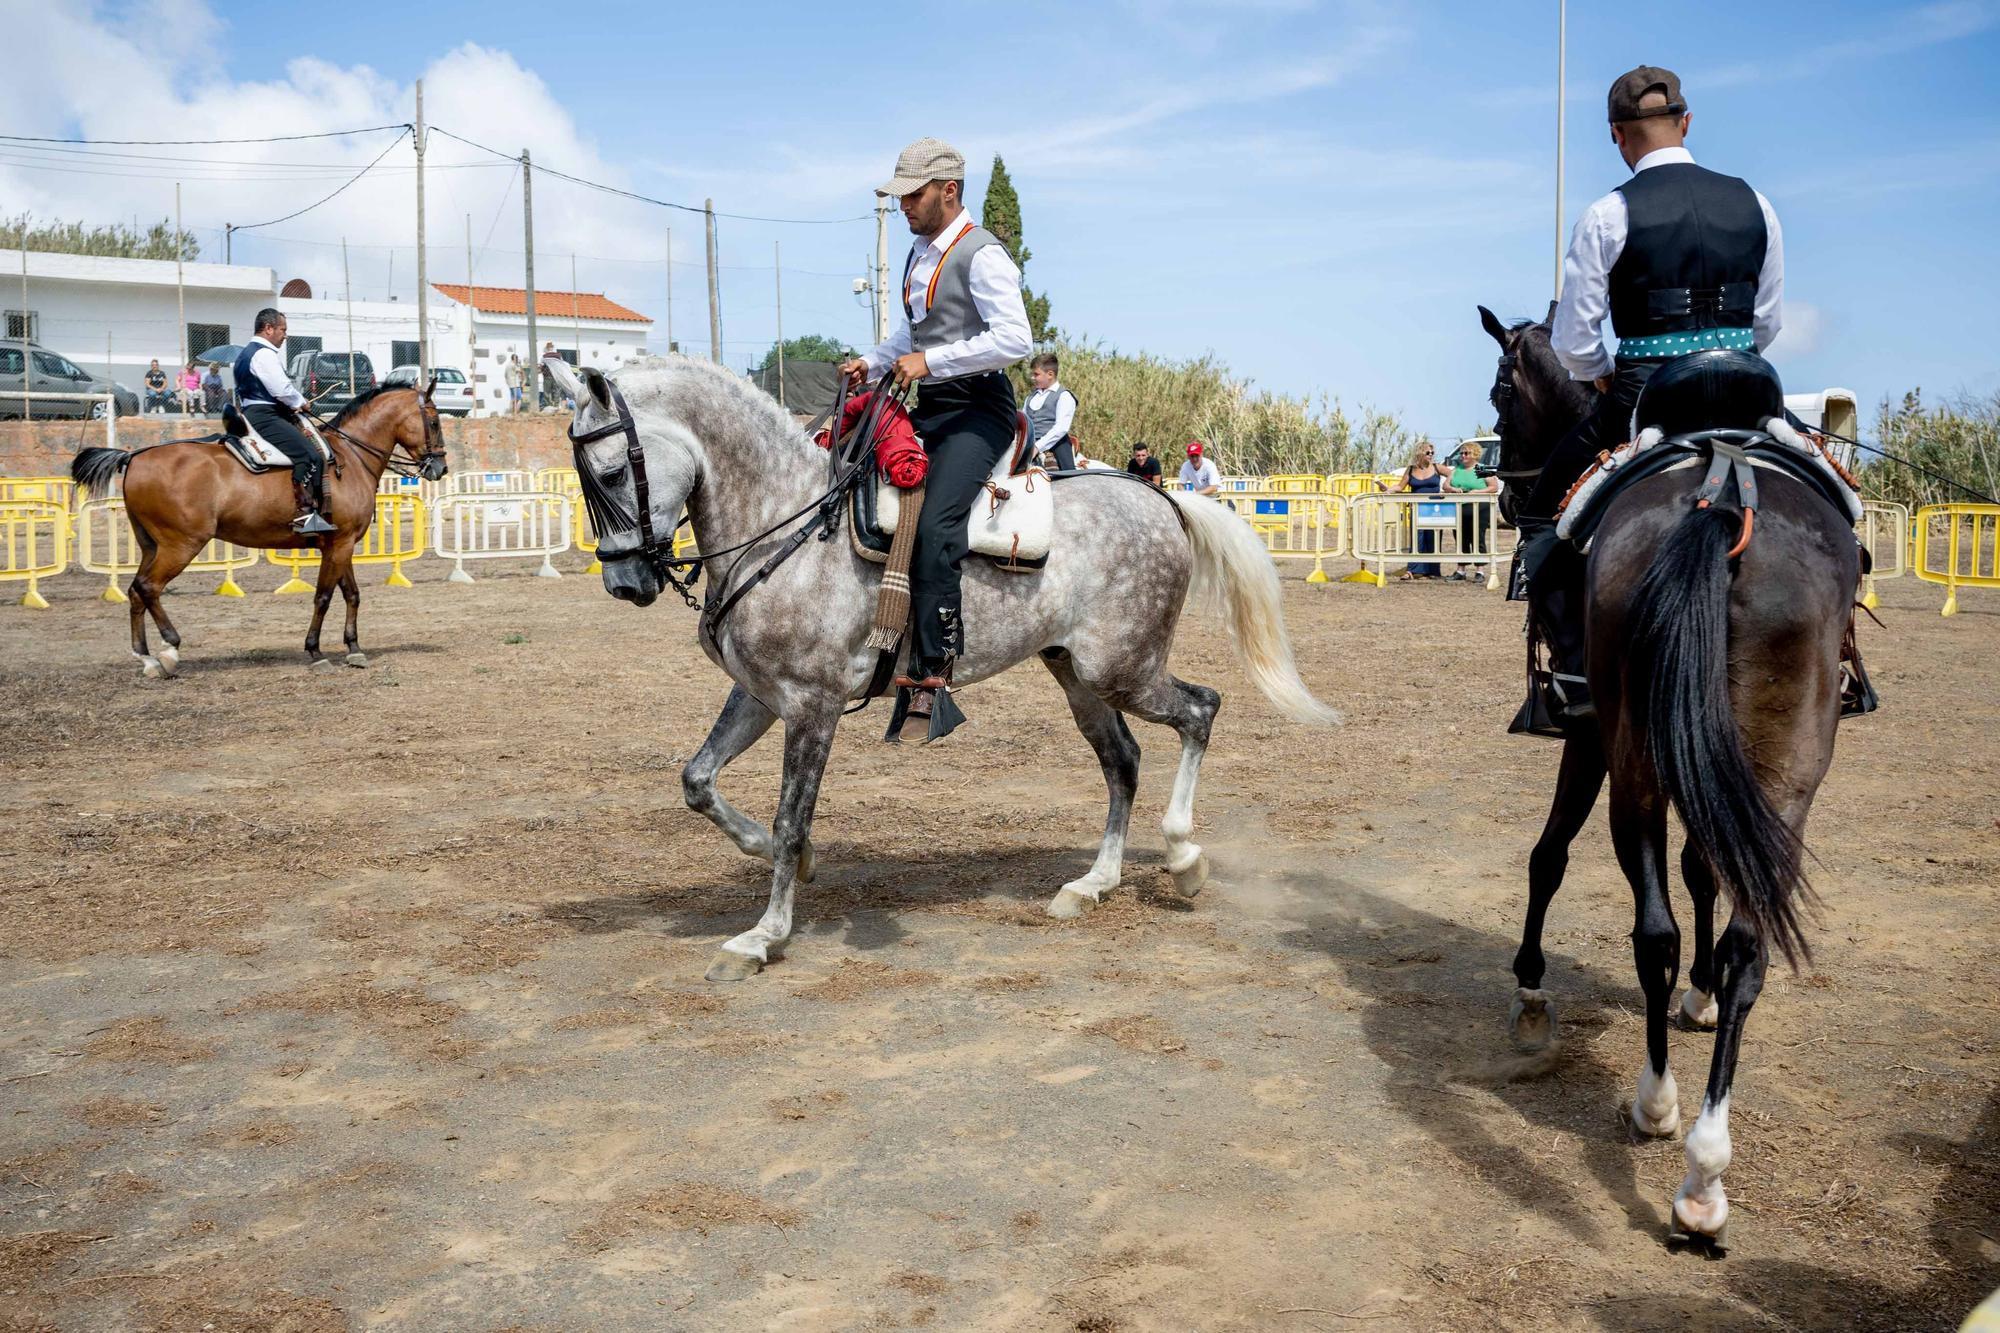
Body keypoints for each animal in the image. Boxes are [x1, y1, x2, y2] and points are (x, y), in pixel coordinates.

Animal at [71, 382, 450, 676]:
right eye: (433, 421)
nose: (441, 468)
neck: (349, 456)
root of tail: (133, 456)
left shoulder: (339, 544)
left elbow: (352, 594)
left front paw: (354, 648)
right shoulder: (340, 544)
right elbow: (324, 597)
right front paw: (315, 651)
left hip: (152, 545)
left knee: (136, 591)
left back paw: (147, 658)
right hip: (181, 545)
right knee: (149, 588)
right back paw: (170, 649)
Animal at [540, 358, 1336, 980]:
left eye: (609, 470)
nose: (626, 584)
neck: (787, 523)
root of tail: (1159, 497)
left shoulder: (812, 705)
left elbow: (793, 815)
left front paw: (764, 934)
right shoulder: (761, 695)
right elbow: (699, 781)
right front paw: (787, 861)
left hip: (1125, 669)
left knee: (1201, 709)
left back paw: (1182, 856)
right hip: (1078, 676)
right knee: (1124, 760)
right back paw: (1093, 883)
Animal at [1480, 306, 1848, 1248]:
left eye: (1502, 392)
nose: (1503, 496)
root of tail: (1724, 494)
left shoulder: (1586, 734)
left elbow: (1550, 856)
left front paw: (1530, 986)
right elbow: (1703, 867)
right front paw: (1704, 997)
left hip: (1637, 765)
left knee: (1656, 929)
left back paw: (1660, 1108)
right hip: (1784, 771)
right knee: (1746, 939)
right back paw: (1706, 1172)